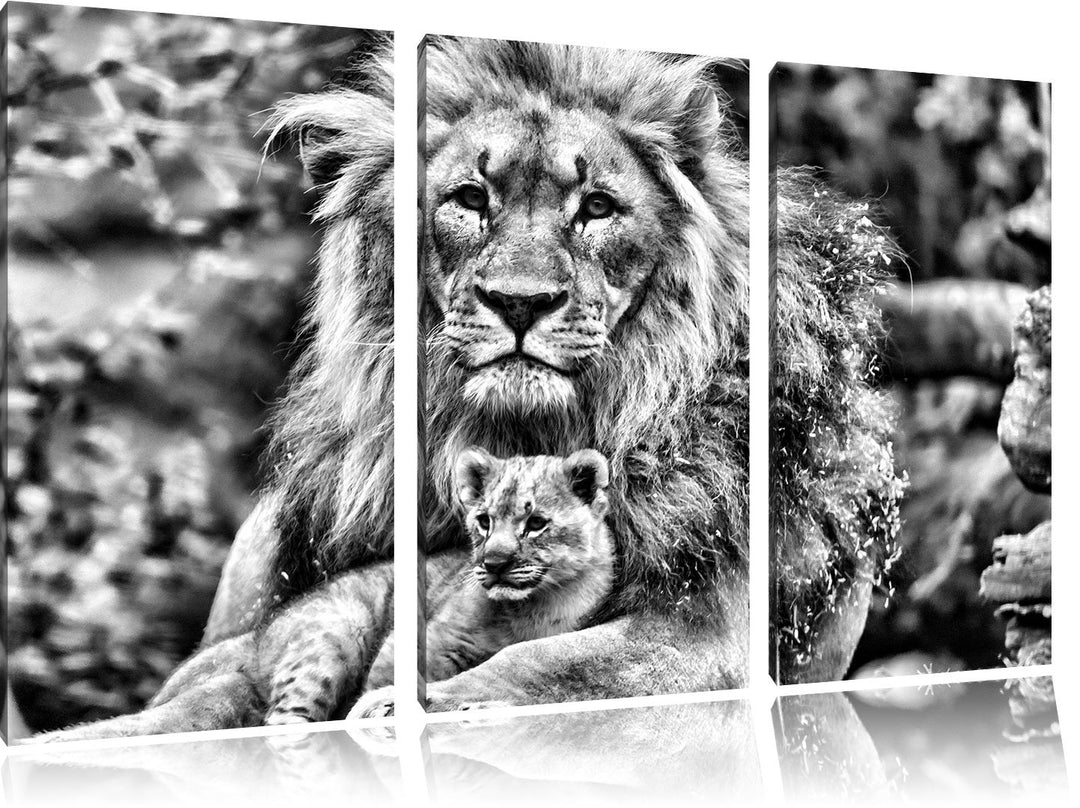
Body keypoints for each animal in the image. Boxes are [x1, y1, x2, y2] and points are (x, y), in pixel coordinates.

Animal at [36, 36, 899, 740]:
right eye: (470, 200)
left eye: (596, 208)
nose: (519, 302)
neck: (518, 431)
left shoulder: (707, 638)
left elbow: (537, 665)